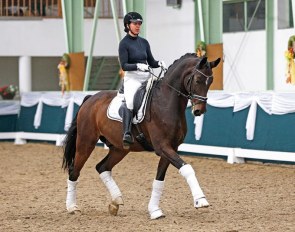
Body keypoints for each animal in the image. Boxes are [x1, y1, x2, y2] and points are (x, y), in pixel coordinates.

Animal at [61, 53, 220, 219]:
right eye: (198, 80)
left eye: (211, 81)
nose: (199, 110)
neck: (166, 103)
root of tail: (90, 99)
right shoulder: (163, 147)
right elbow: (187, 168)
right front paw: (200, 200)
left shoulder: (171, 148)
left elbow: (159, 180)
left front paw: (155, 210)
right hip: (86, 143)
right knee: (74, 171)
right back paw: (72, 207)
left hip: (119, 149)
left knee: (102, 167)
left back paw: (116, 202)